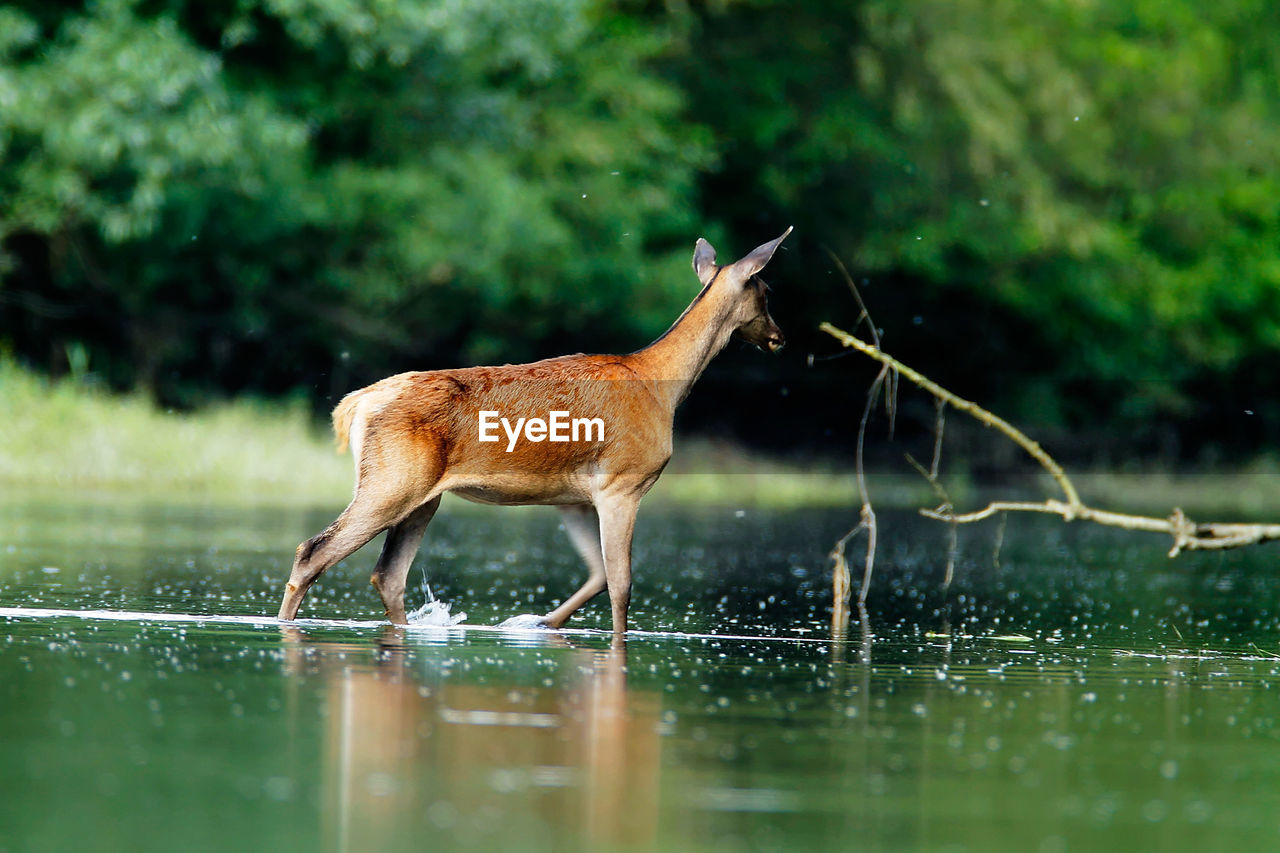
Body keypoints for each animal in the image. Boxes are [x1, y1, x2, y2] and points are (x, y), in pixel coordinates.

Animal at [280, 225, 788, 630]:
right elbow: (621, 583)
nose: (779, 337)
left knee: (388, 575)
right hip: (393, 479)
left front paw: (538, 622)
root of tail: (356, 404)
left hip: (422, 496)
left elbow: (598, 575)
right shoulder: (623, 481)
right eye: (766, 291)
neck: (661, 386)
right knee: (313, 551)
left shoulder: (575, 497)